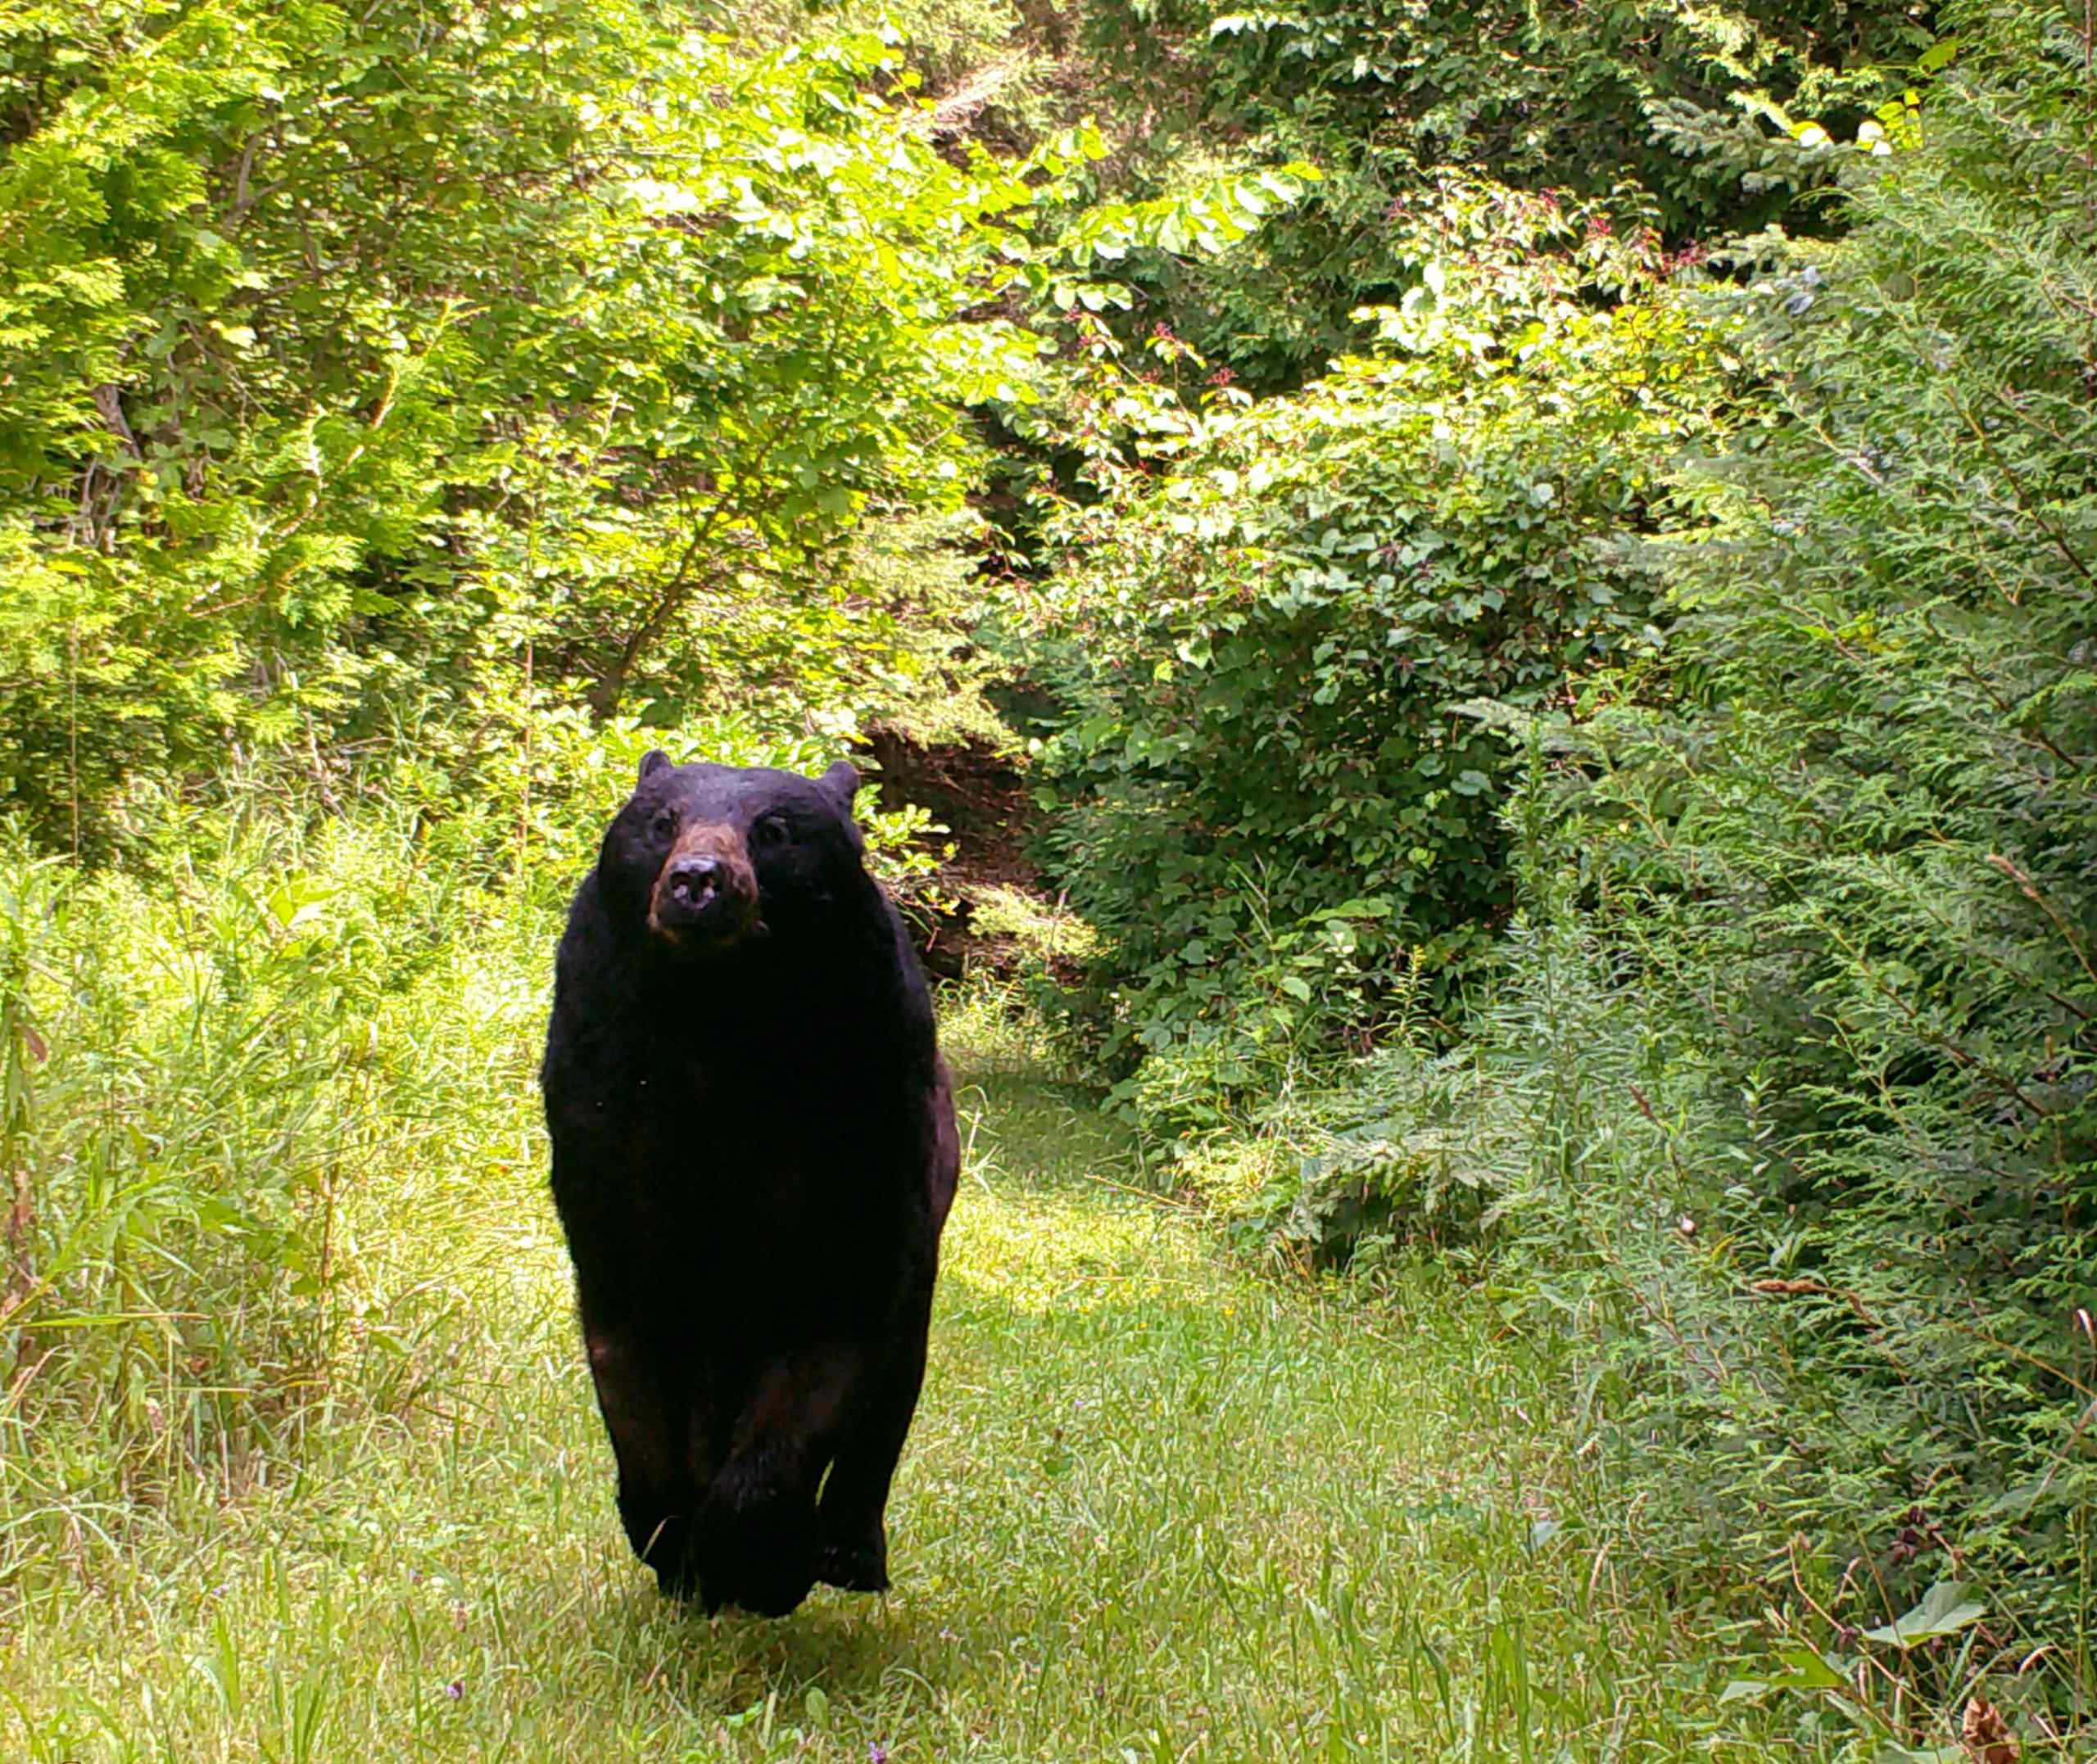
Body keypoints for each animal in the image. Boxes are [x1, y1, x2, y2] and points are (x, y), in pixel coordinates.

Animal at [539, 750, 959, 1617]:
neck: (720, 1020)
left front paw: (760, 1563)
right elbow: (628, 1346)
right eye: (661, 822)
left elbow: (833, 1338)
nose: (698, 880)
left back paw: (848, 1548)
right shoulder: (611, 1116)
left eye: (774, 831)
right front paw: (675, 1545)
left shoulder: (859, 1121)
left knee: (893, 1388)